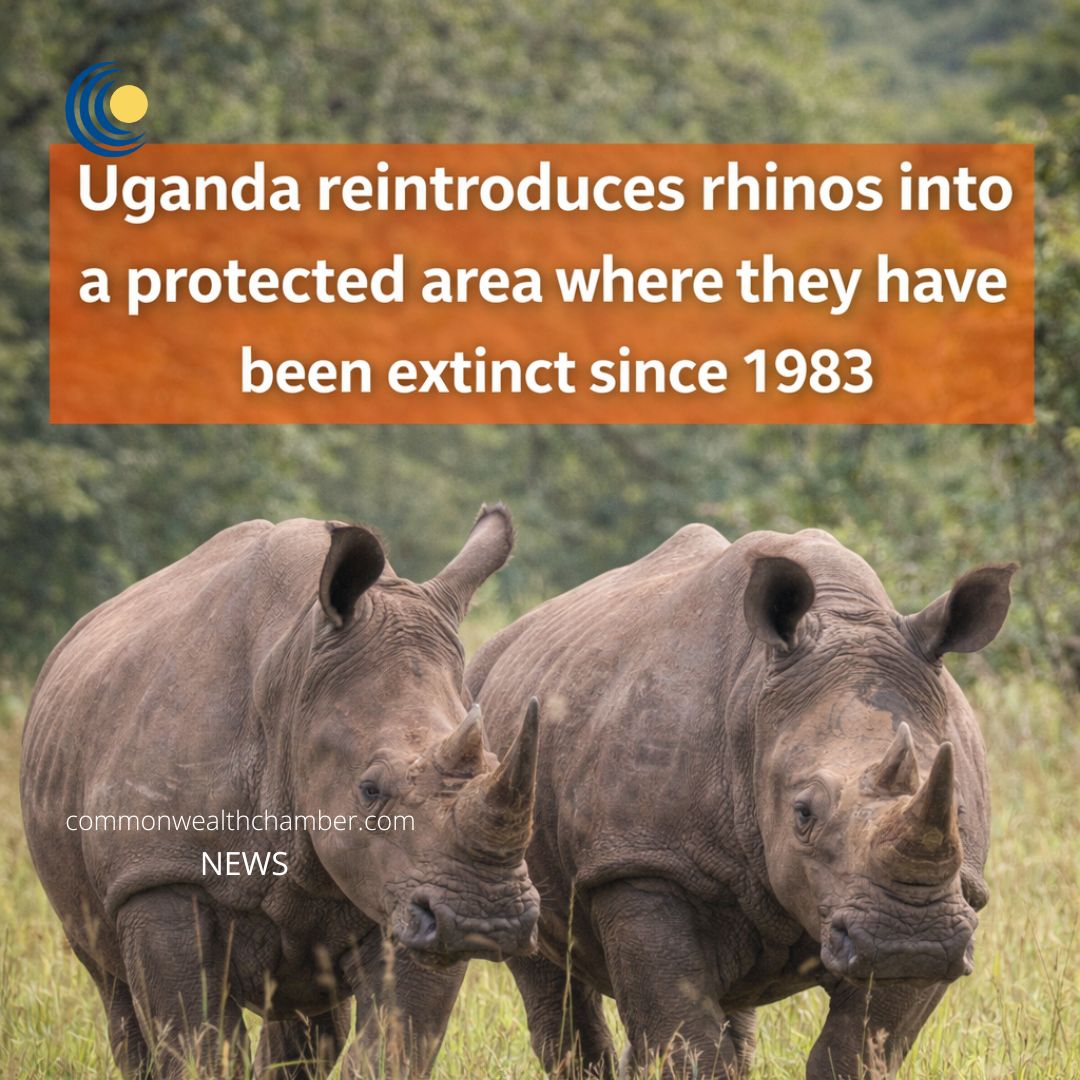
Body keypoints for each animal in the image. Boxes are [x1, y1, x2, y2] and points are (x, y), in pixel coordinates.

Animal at [20, 504, 540, 1079]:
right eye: (369, 789)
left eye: (493, 762)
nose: (486, 920)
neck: (295, 674)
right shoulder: (158, 873)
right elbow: (197, 1042)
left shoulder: (410, 888)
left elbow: (395, 1044)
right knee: (113, 985)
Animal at [464, 525, 1014, 1079]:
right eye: (803, 813)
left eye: (959, 812)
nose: (910, 940)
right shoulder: (640, 863)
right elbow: (686, 1040)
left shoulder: (953, 899)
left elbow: (859, 1049)